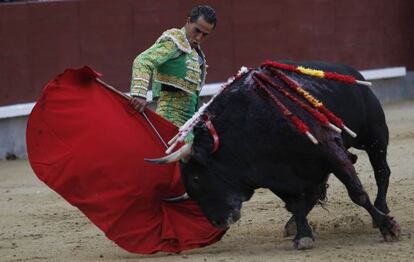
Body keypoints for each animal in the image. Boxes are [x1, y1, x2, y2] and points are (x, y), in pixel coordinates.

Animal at [163, 61, 400, 250]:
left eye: (196, 178)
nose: (218, 222)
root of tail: (352, 72)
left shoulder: (329, 149)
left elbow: (356, 192)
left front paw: (388, 228)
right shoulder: (273, 175)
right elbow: (296, 203)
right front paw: (303, 234)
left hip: (374, 136)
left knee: (382, 171)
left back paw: (382, 208)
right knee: (315, 191)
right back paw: (293, 223)